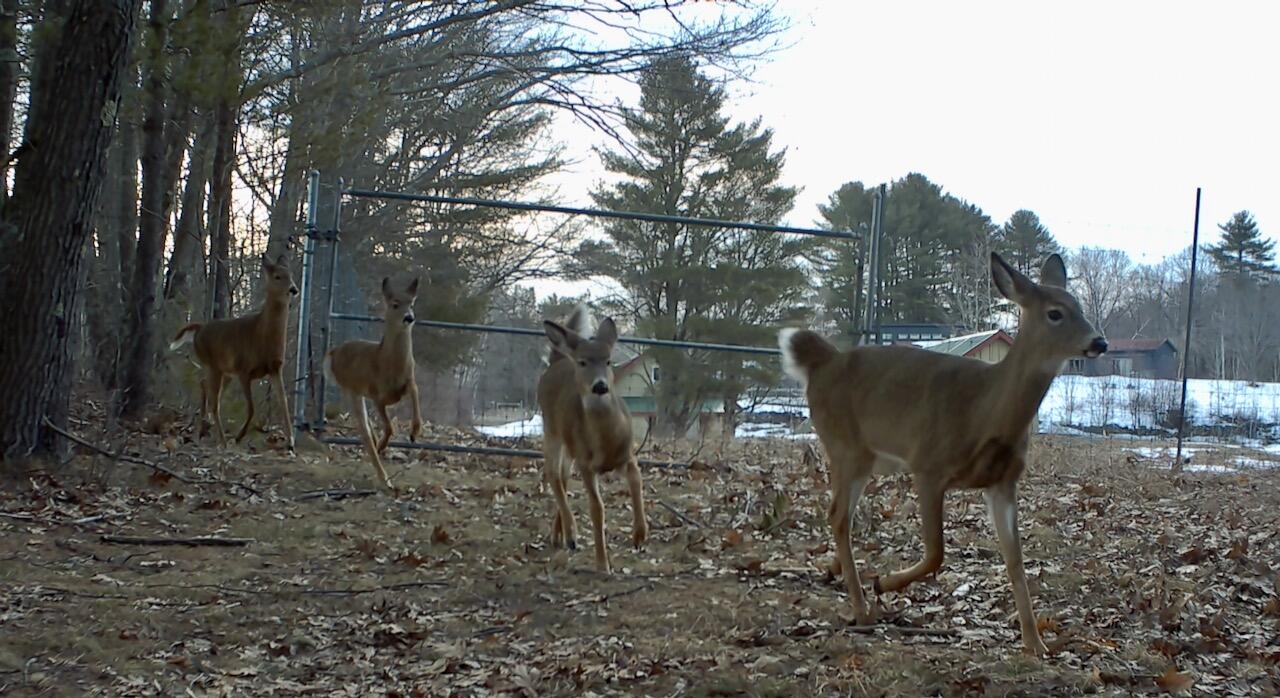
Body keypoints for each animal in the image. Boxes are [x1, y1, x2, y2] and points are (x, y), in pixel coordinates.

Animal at [170, 254, 299, 451]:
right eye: (277, 276)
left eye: (291, 275)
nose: (294, 289)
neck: (263, 336)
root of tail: (199, 328)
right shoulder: (244, 369)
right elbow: (252, 408)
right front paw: (238, 437)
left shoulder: (275, 368)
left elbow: (283, 402)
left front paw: (291, 441)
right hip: (213, 364)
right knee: (214, 402)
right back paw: (221, 440)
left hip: (224, 371)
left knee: (205, 386)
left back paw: (203, 429)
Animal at [324, 276, 422, 491]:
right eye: (395, 304)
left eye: (412, 303)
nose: (409, 317)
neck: (389, 365)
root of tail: (333, 353)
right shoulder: (378, 395)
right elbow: (389, 426)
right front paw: (384, 445)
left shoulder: (408, 382)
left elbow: (415, 392)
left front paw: (414, 432)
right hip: (350, 389)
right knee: (365, 434)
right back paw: (385, 478)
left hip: (359, 392)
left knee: (367, 428)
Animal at [538, 304, 647, 574]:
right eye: (583, 362)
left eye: (608, 360)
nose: (600, 386)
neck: (605, 442)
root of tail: (558, 360)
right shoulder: (586, 464)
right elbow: (597, 509)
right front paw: (602, 564)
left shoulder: (628, 455)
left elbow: (637, 483)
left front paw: (640, 535)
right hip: (551, 428)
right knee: (552, 473)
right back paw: (571, 533)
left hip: (569, 445)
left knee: (562, 476)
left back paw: (559, 534)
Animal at [778, 253, 1107, 656]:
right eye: (1056, 313)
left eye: (1080, 307)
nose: (1100, 341)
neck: (985, 412)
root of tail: (822, 363)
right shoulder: (928, 465)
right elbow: (937, 551)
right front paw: (884, 582)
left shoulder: (1003, 482)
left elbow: (1015, 561)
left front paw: (1035, 643)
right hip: (847, 446)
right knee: (840, 517)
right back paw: (861, 608)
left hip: (867, 457)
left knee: (837, 515)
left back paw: (833, 571)